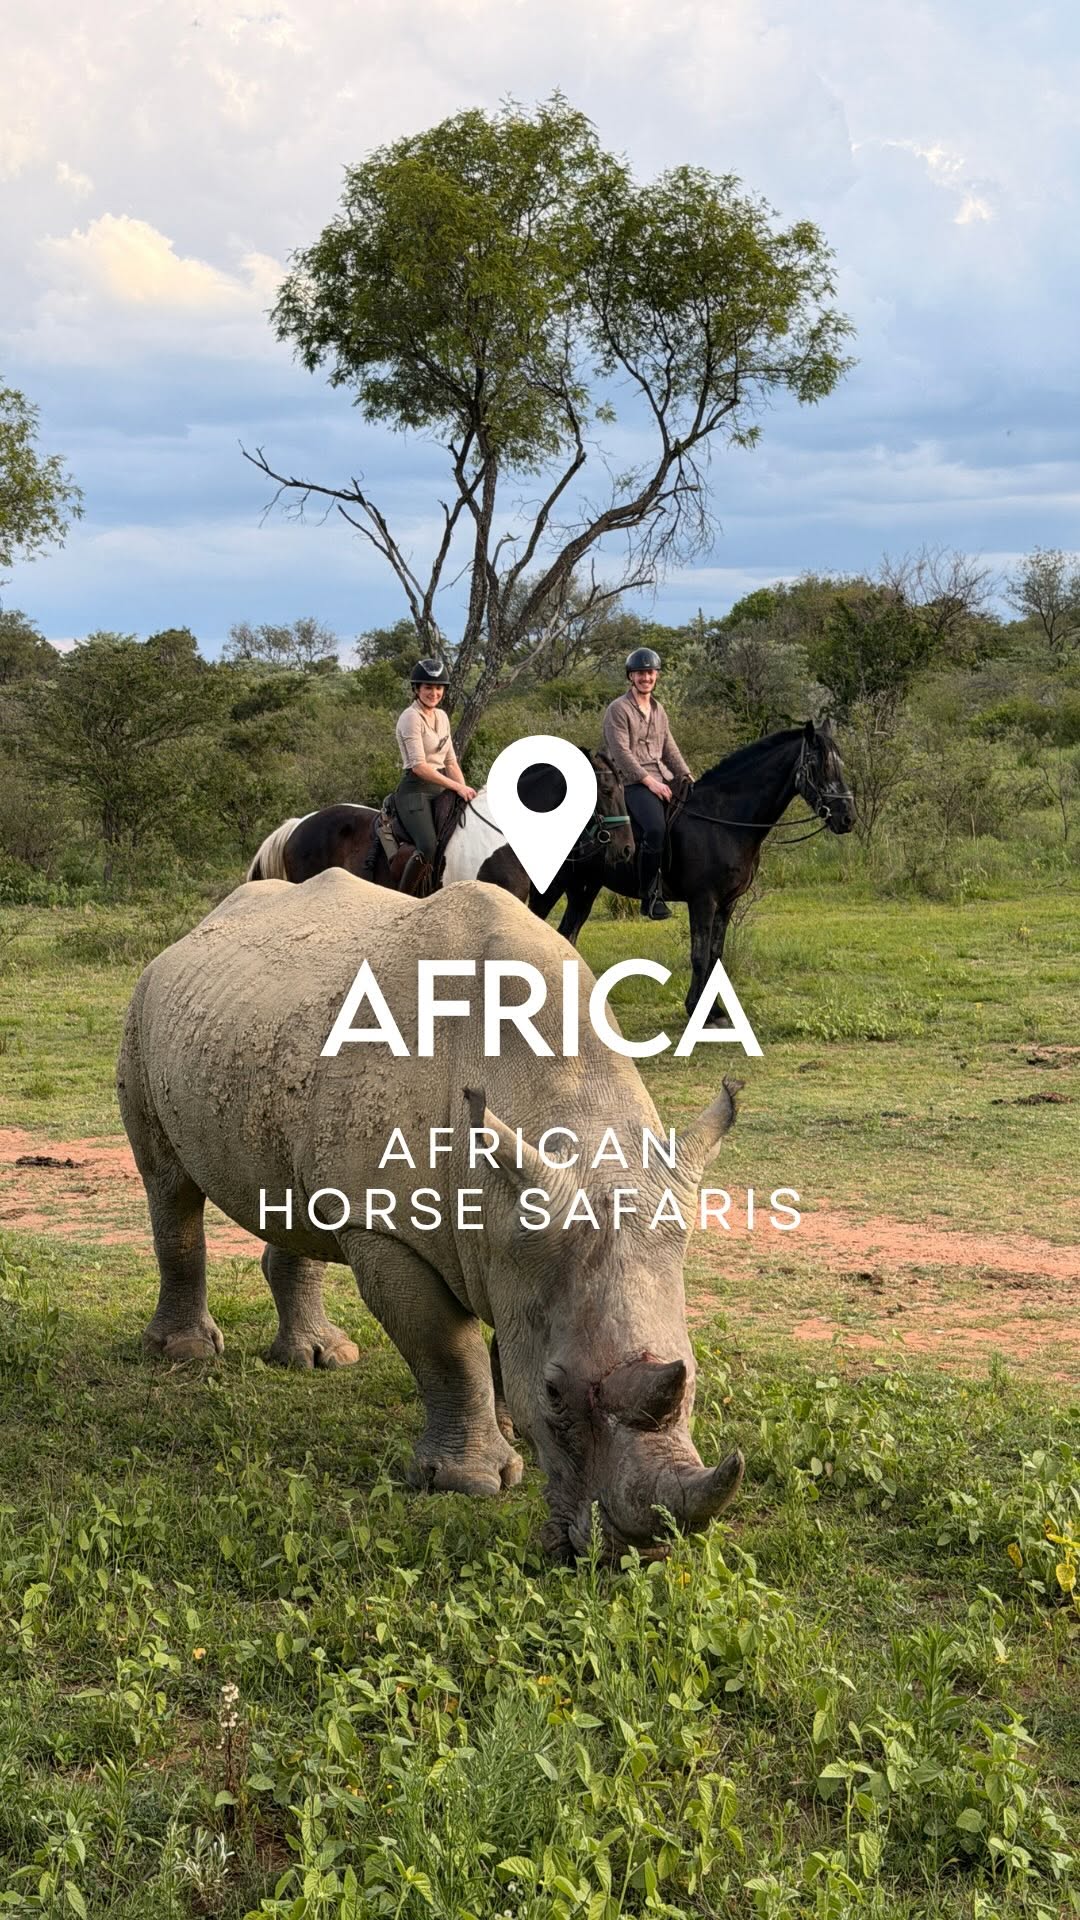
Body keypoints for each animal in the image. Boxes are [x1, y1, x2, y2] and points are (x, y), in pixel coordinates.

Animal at [529, 721, 856, 1022]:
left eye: (839, 764)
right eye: (820, 766)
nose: (848, 818)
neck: (723, 819)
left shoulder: (727, 903)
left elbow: (714, 955)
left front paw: (715, 1008)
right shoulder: (703, 900)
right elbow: (699, 956)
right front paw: (699, 1010)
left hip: (584, 887)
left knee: (567, 935)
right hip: (554, 886)